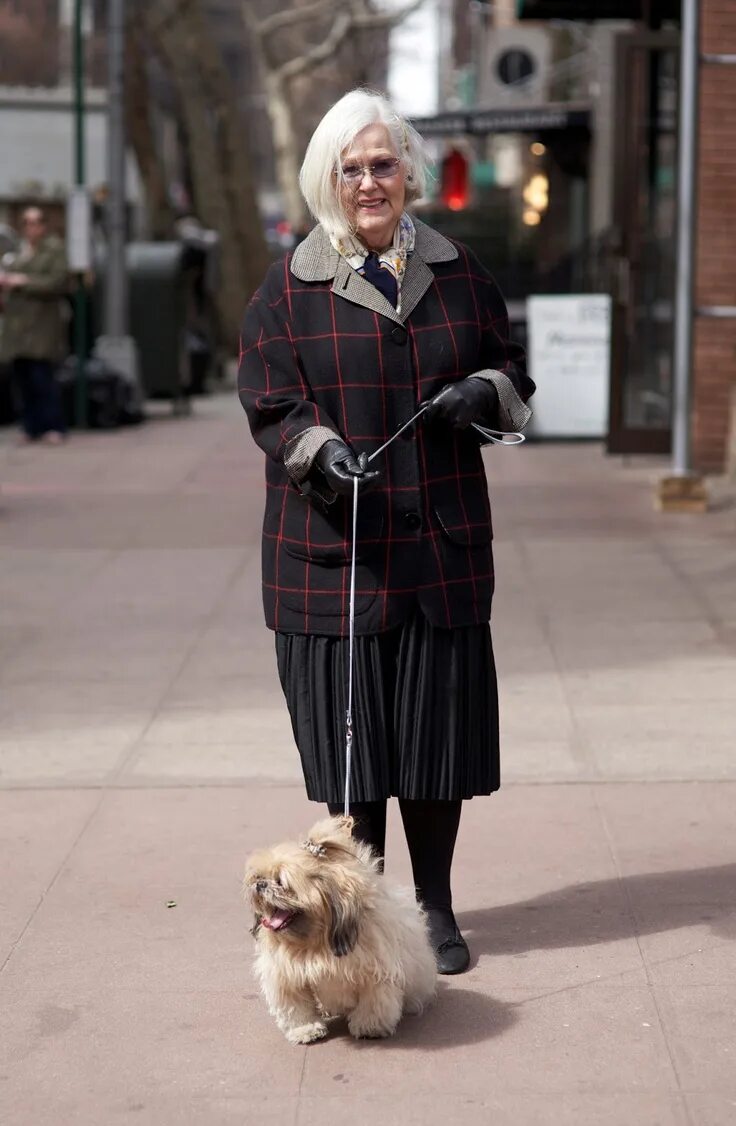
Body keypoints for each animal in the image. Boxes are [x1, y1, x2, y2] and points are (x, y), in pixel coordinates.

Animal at [245, 815, 434, 1040]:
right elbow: (296, 1009)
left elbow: (374, 1002)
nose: (260, 885)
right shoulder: (287, 977)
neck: (315, 943)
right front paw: (305, 1029)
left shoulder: (375, 973)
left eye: (281, 882)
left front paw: (369, 1026)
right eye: (259, 877)